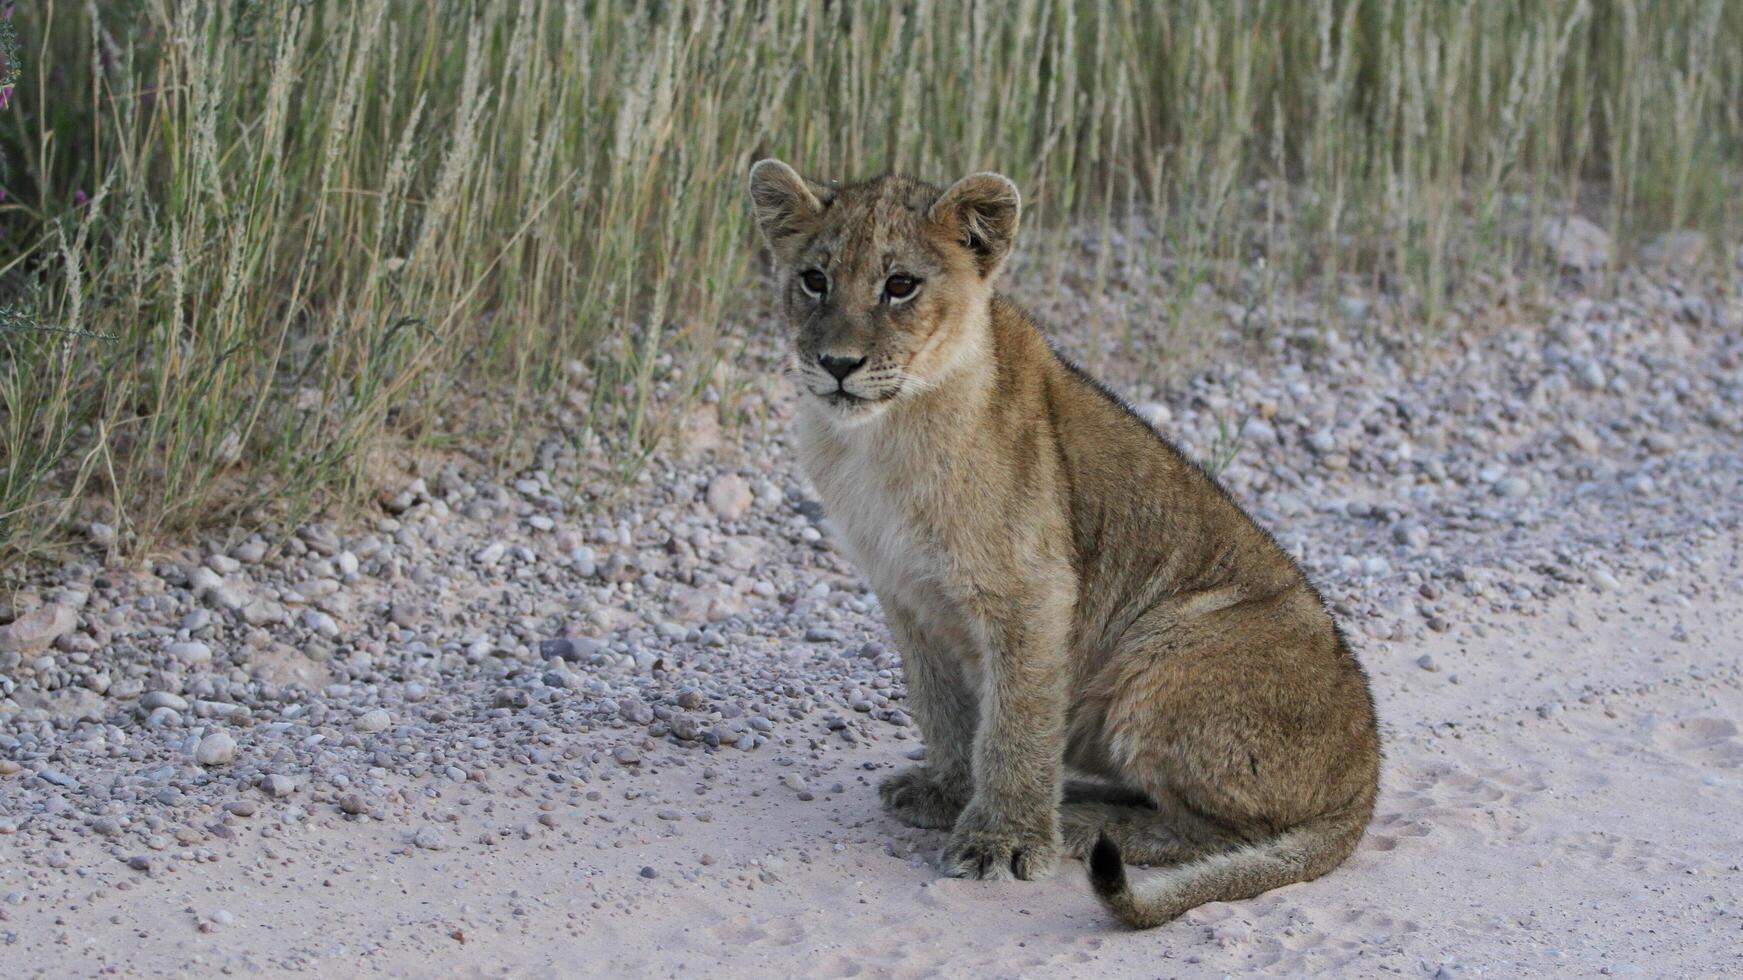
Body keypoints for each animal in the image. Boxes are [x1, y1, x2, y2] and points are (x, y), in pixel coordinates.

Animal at [746, 160, 1373, 920]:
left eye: (900, 286)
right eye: (814, 279)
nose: (837, 363)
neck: (878, 440)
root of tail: (1364, 782)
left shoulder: (1030, 589)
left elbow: (1016, 721)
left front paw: (1003, 841)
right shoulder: (903, 590)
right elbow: (940, 704)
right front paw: (947, 793)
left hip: (1171, 647)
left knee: (1216, 831)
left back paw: (1081, 819)